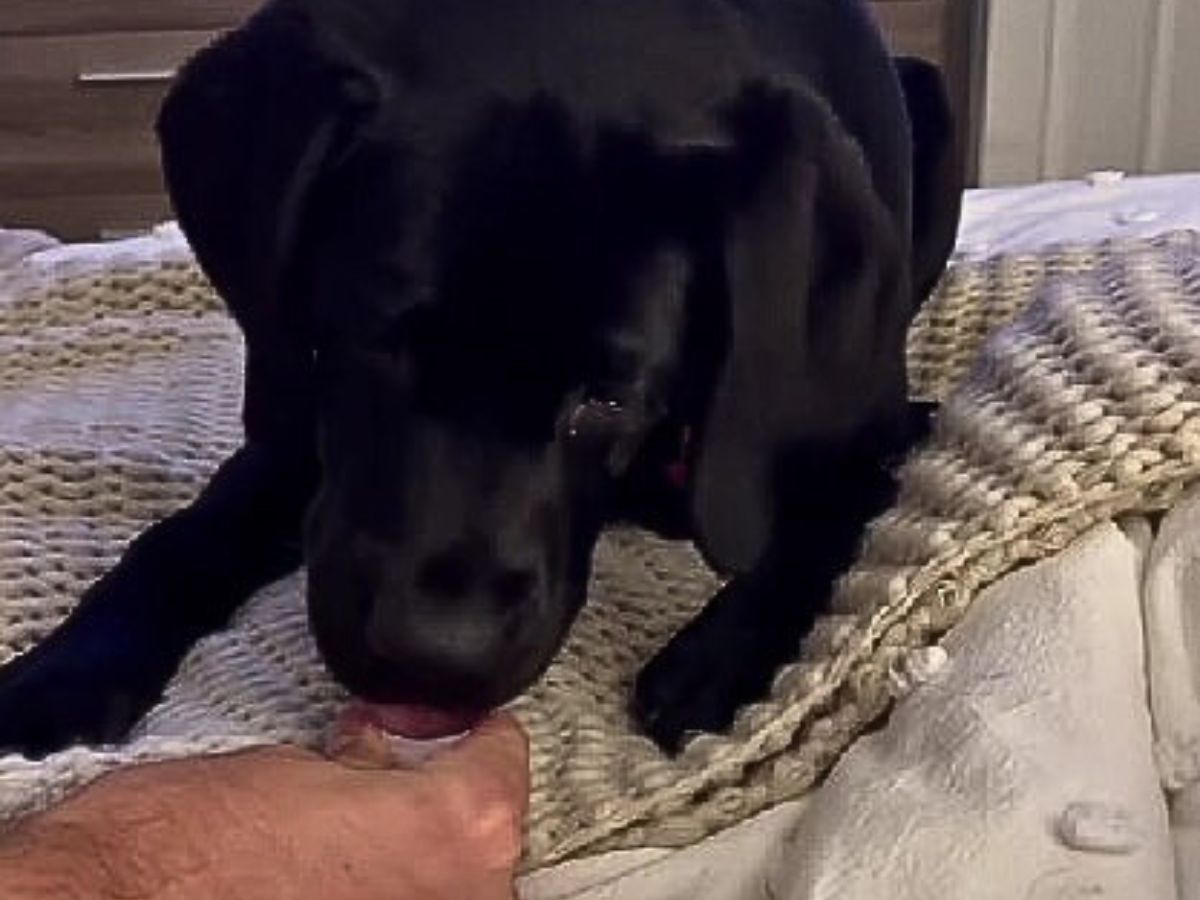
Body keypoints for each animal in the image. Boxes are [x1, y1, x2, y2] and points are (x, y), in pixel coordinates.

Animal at [0, 0, 955, 753]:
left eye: (610, 395)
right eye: (373, 339)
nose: (435, 659)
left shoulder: (871, 418)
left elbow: (847, 499)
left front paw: (727, 649)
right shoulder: (295, 412)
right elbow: (186, 533)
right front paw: (68, 667)